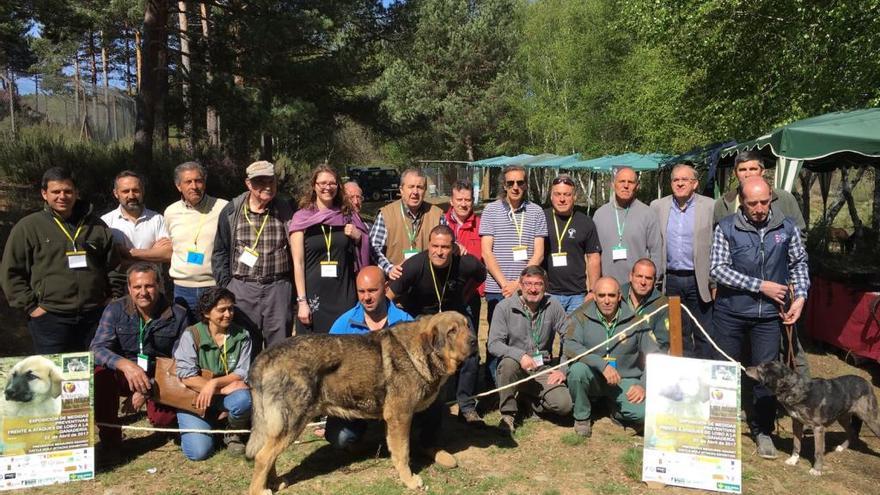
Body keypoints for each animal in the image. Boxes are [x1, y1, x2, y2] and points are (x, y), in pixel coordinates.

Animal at [244, 312, 474, 494]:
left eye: (467, 325)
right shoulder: (400, 416)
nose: (473, 341)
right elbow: (403, 453)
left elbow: (397, 449)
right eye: (452, 331)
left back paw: (275, 482)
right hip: (292, 422)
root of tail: (265, 355)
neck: (420, 353)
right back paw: (260, 490)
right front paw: (409, 481)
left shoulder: (395, 420)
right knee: (263, 457)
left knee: (267, 455)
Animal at [744, 360, 880, 476]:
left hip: (870, 420)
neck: (794, 388)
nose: (747, 368)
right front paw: (793, 460)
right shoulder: (797, 423)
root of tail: (867, 383)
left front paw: (817, 470)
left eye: (759, 369)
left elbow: (818, 452)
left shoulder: (818, 428)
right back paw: (841, 447)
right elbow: (796, 444)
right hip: (842, 417)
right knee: (851, 431)